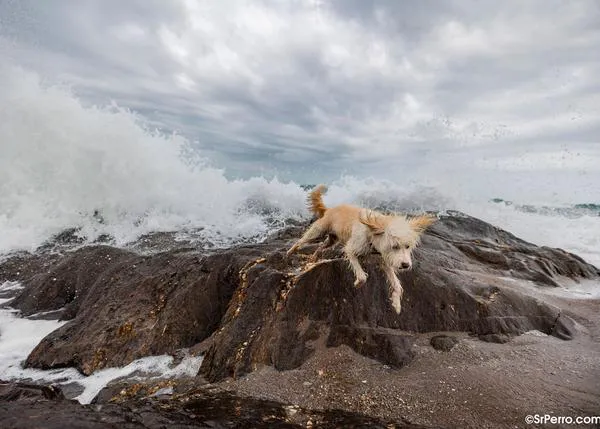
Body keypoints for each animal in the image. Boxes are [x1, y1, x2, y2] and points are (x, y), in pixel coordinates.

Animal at [288, 186, 436, 312]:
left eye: (407, 246)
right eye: (395, 246)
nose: (405, 265)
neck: (372, 234)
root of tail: (330, 209)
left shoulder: (385, 261)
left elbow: (397, 285)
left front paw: (396, 304)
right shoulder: (351, 250)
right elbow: (362, 275)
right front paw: (358, 282)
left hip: (332, 240)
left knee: (321, 246)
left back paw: (314, 256)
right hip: (318, 231)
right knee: (301, 240)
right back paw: (291, 251)